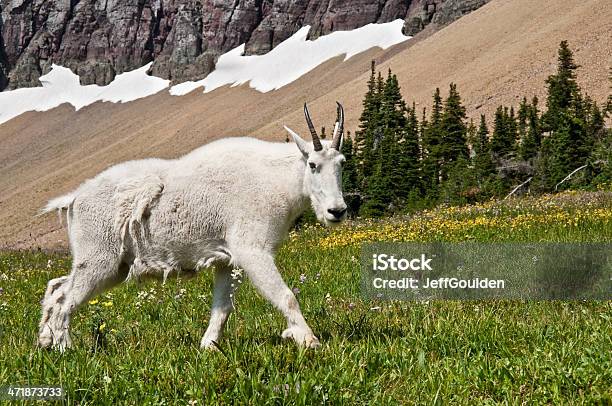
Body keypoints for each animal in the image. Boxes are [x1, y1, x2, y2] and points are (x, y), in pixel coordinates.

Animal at [38, 101, 346, 348]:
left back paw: (44, 341)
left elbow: (222, 308)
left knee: (56, 286)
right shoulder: (252, 250)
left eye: (342, 163)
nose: (337, 211)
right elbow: (286, 296)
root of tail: (74, 198)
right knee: (65, 300)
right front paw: (309, 340)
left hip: (115, 265)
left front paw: (208, 346)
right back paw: (66, 349)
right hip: (99, 257)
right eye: (313, 165)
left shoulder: (227, 260)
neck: (276, 179)